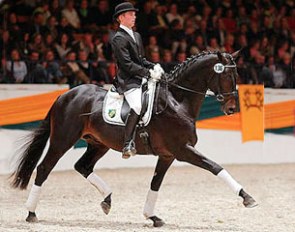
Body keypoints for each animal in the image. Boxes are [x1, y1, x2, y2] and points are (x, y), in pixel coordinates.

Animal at [10, 50, 258, 227]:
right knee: (44, 168)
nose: (231, 108)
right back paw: (31, 213)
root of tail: (64, 95)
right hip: (63, 140)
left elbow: (155, 183)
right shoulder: (182, 150)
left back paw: (107, 200)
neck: (177, 101)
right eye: (227, 75)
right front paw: (247, 197)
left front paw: (152, 217)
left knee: (82, 166)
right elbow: (215, 166)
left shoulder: (167, 155)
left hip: (98, 144)